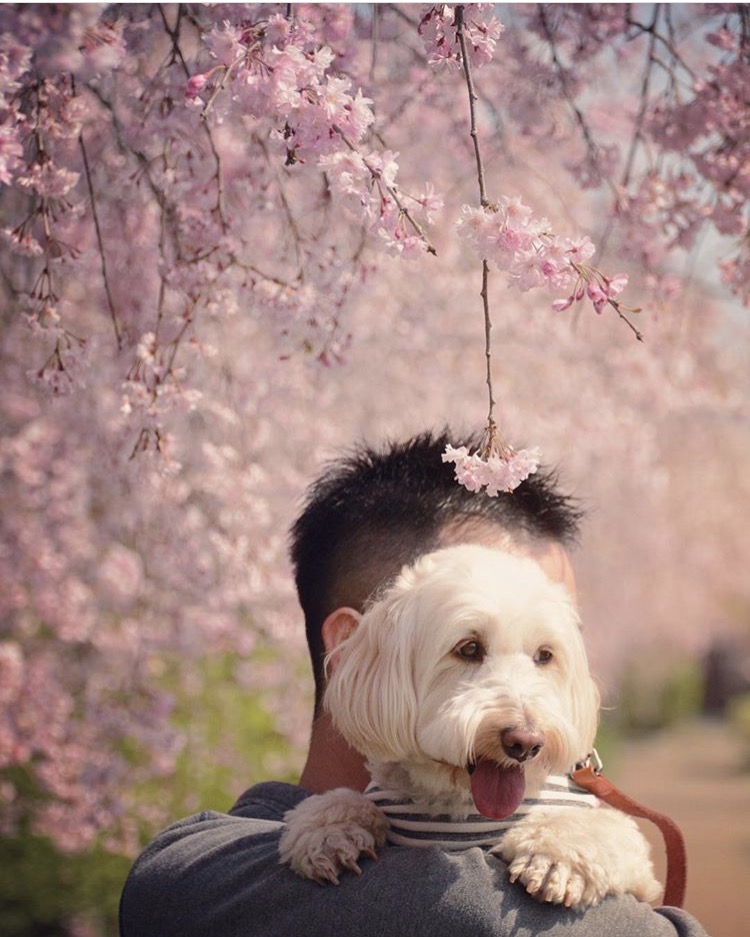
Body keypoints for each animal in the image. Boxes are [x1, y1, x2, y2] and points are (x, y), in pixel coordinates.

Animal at [280, 540, 656, 908]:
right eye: (469, 648)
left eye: (544, 655)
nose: (525, 742)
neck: (464, 804)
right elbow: (340, 801)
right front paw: (329, 832)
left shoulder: (637, 870)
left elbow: (601, 828)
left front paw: (554, 861)